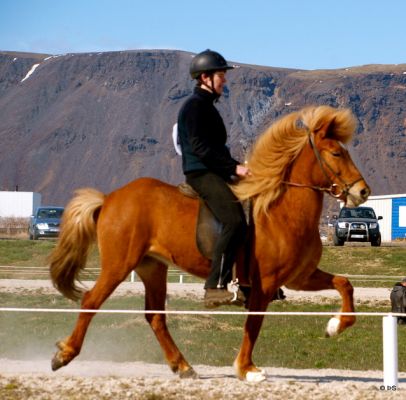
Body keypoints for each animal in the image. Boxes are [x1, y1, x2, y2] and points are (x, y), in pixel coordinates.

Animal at [49, 105, 370, 382]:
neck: (281, 212)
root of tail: (109, 198)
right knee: (91, 301)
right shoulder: (264, 284)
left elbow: (345, 284)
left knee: (155, 316)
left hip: (152, 268)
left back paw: (183, 366)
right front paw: (247, 369)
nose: (363, 191)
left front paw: (334, 326)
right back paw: (64, 354)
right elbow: (254, 325)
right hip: (118, 265)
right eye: (336, 153)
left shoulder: (300, 278)